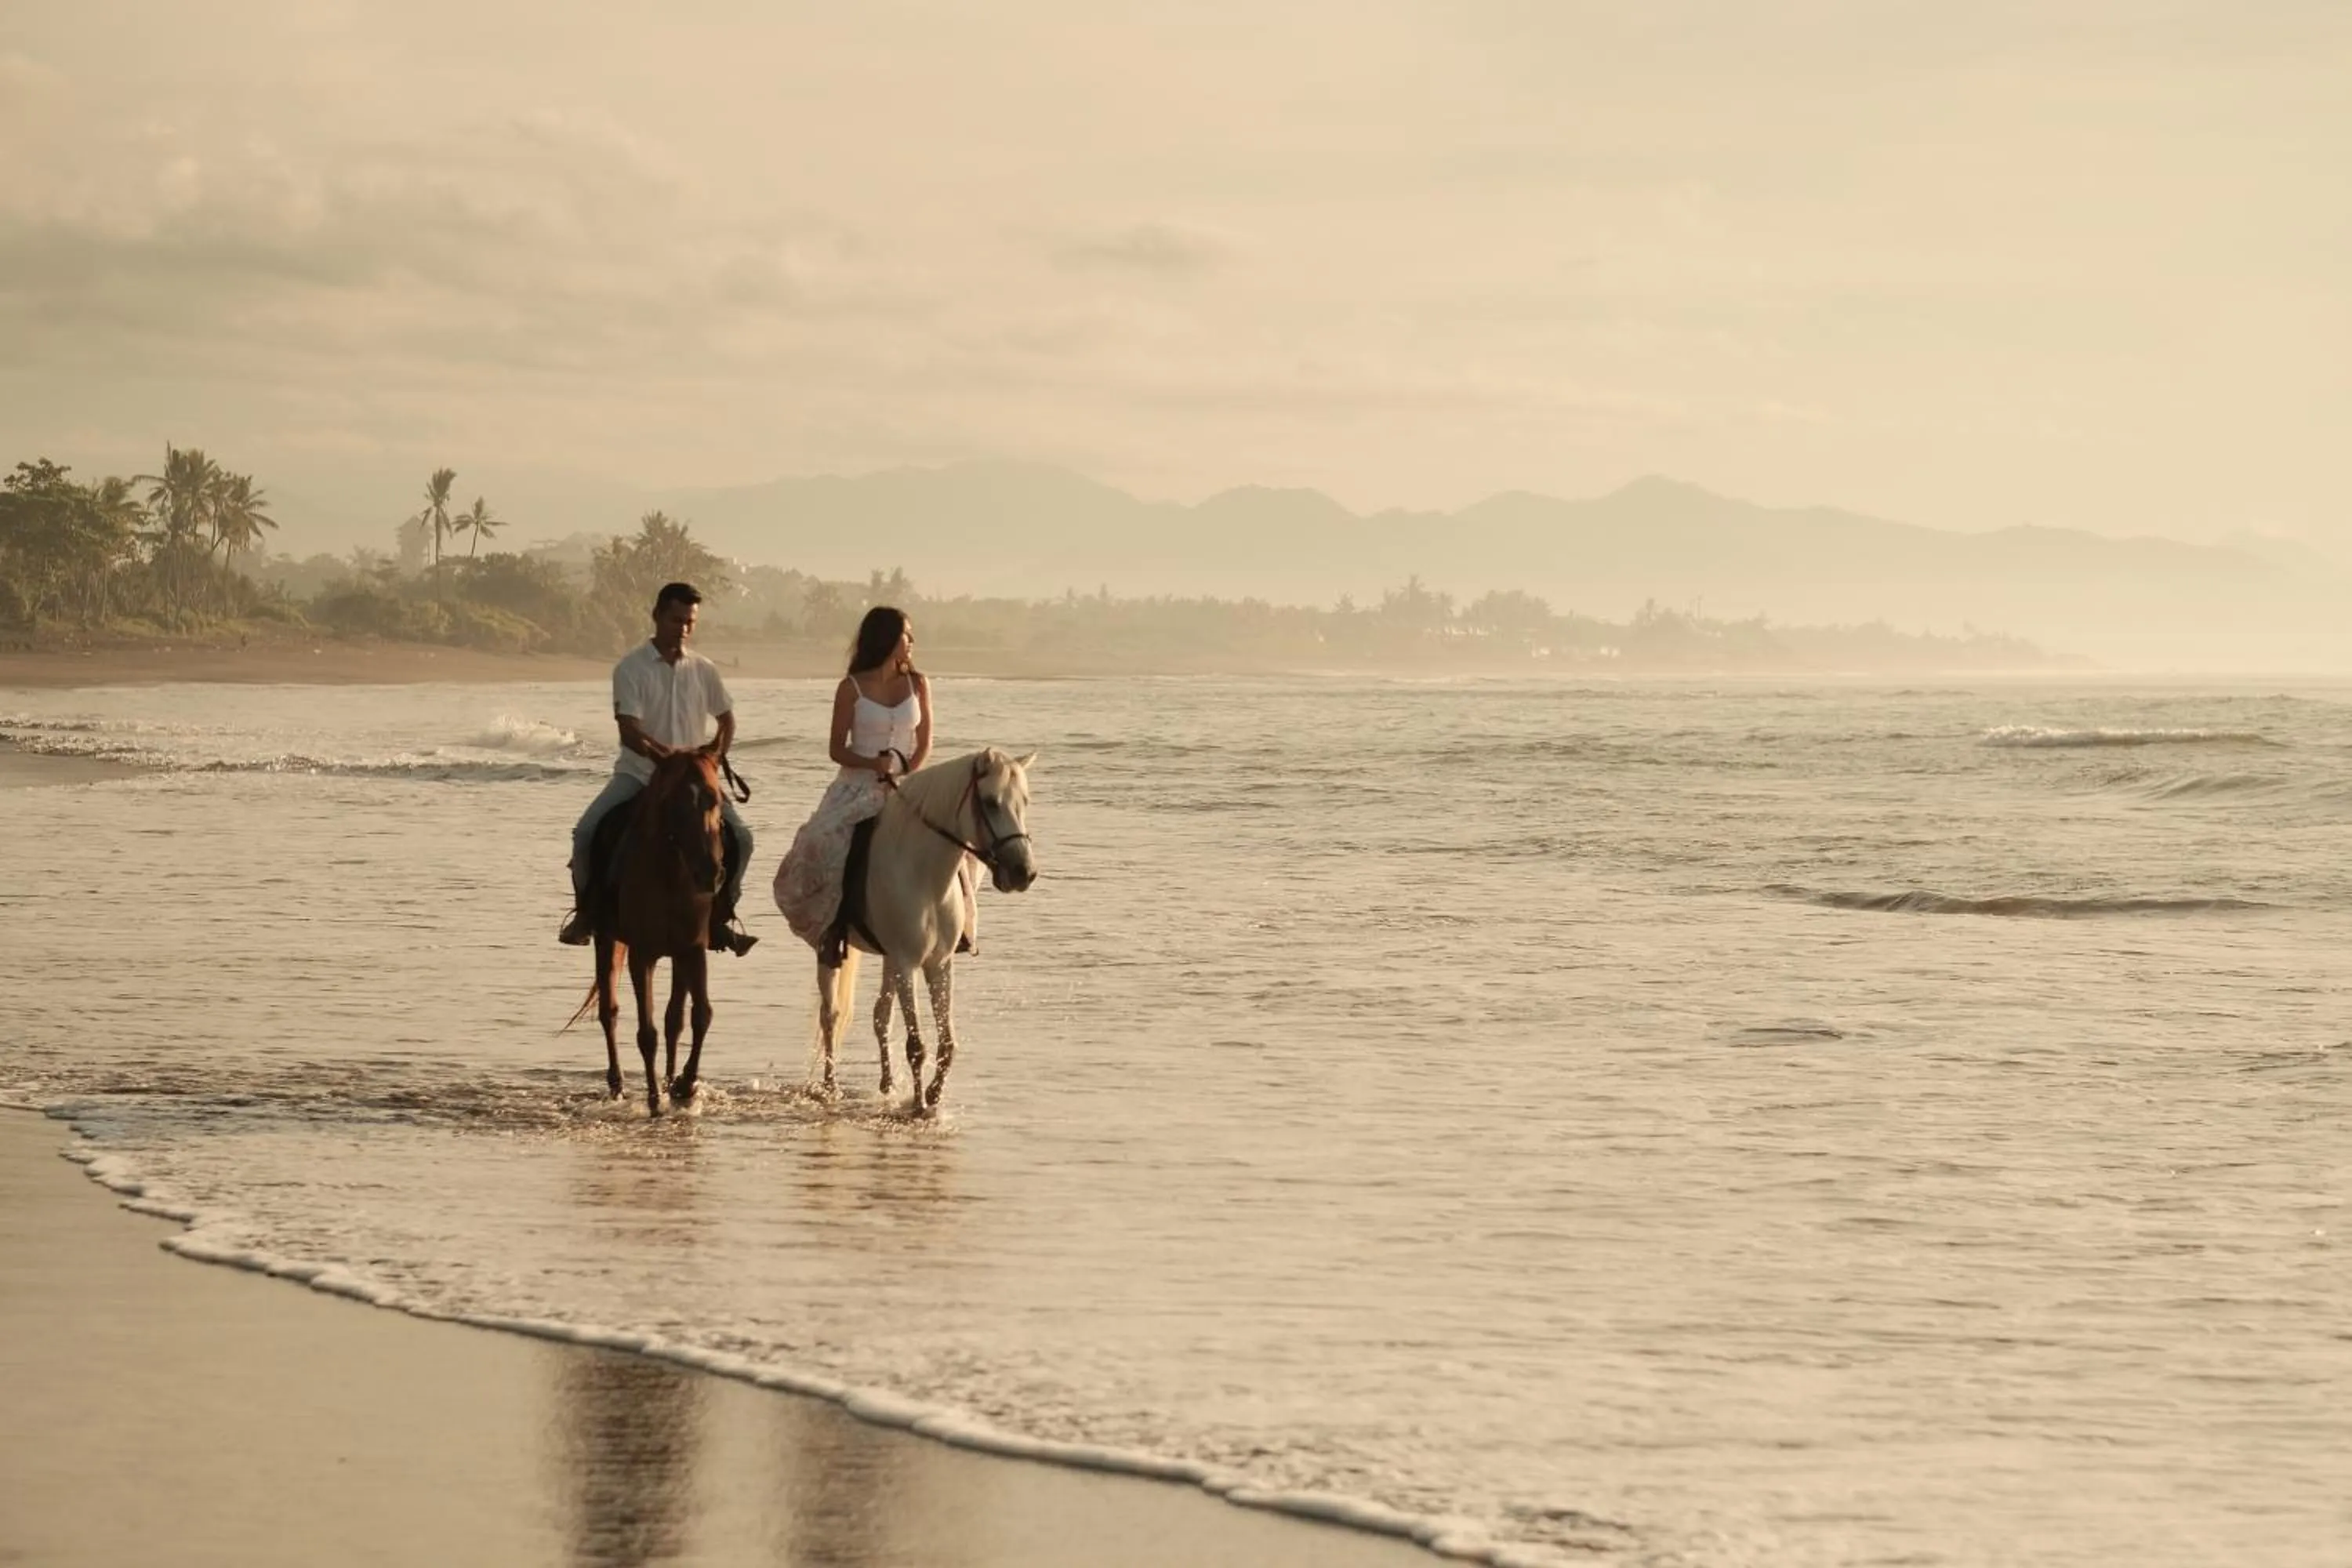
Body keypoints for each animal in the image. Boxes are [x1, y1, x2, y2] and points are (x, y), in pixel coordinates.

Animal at [583, 751, 728, 1116]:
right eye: (674, 804)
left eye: (715, 799)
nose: (710, 873)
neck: (672, 877)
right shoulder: (642, 955)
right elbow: (646, 1033)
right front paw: (653, 1102)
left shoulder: (693, 949)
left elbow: (700, 1015)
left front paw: (684, 1085)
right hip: (606, 939)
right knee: (609, 1011)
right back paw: (618, 1086)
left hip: (677, 955)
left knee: (674, 1019)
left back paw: (669, 1081)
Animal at [817, 746, 1040, 1112]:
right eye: (991, 802)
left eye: (1025, 801)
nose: (1024, 873)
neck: (926, 878)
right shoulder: (908, 964)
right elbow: (916, 1045)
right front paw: (920, 1105)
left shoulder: (939, 963)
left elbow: (947, 1043)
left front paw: (934, 1095)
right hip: (831, 948)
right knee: (830, 1015)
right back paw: (829, 1087)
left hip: (888, 959)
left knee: (880, 1016)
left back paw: (887, 1085)